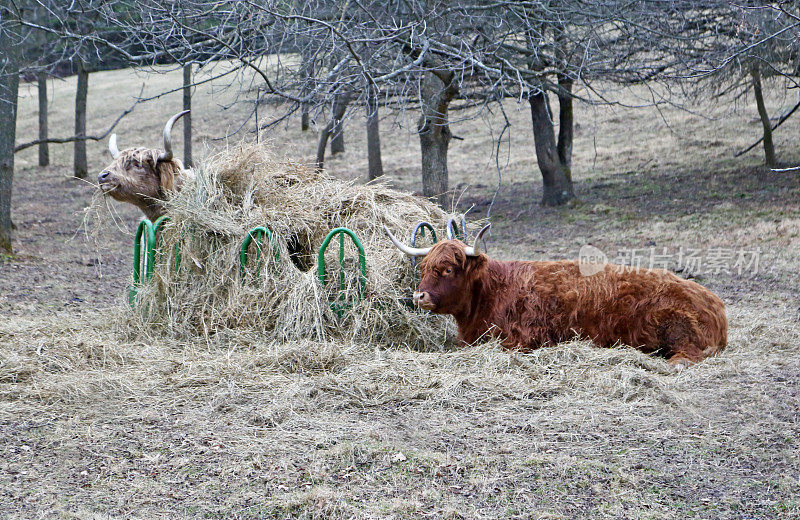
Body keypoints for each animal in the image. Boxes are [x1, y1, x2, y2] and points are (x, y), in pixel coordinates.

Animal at [386, 224, 724, 370]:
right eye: (424, 267)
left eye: (448, 269)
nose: (419, 296)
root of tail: (713, 301)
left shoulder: (519, 340)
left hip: (676, 327)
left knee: (690, 354)